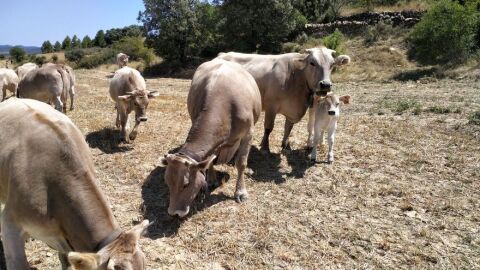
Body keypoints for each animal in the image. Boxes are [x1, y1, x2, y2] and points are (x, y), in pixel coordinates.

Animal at [159, 58, 260, 217]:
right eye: (167, 182)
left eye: (186, 184)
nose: (174, 212)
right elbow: (210, 159)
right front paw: (212, 179)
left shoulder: (248, 134)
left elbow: (241, 163)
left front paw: (241, 192)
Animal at [217, 46, 348, 152]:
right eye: (312, 63)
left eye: (332, 64)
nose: (325, 85)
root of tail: (222, 54)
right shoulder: (271, 106)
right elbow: (268, 128)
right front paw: (265, 146)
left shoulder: (293, 111)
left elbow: (288, 128)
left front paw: (285, 144)